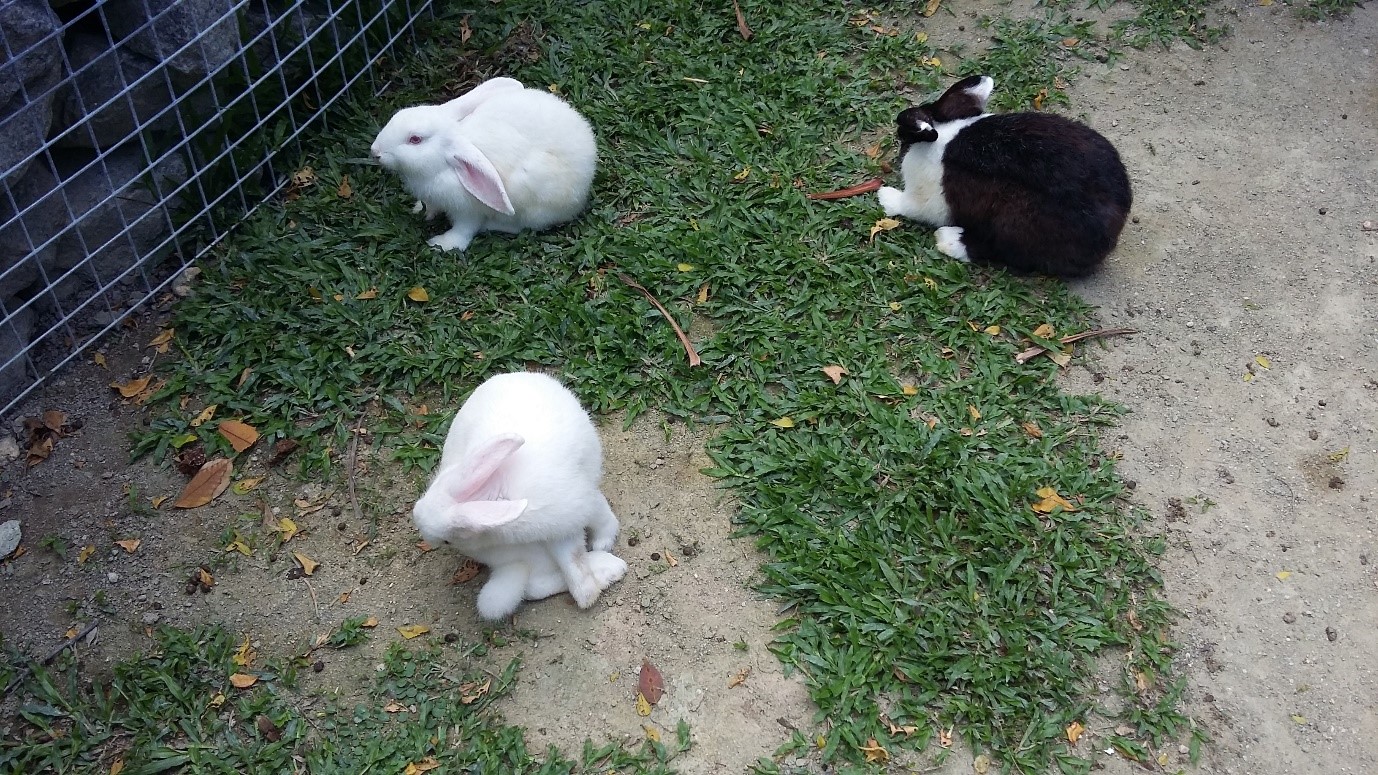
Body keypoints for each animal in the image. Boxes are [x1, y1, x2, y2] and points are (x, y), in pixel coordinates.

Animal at [370, 77, 598, 252]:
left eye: (415, 139)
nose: (375, 151)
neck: (441, 167)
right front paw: (421, 210)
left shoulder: (468, 211)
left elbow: (464, 230)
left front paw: (442, 244)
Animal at [411, 371, 627, 620]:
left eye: (447, 539)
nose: (425, 533)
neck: (497, 496)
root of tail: (514, 374)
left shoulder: (572, 511)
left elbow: (578, 554)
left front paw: (601, 552)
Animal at [876, 75, 1132, 277]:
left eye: (904, 135)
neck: (942, 135)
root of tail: (1113, 229)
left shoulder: (926, 201)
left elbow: (908, 206)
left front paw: (884, 198)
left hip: (1014, 222)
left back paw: (948, 240)